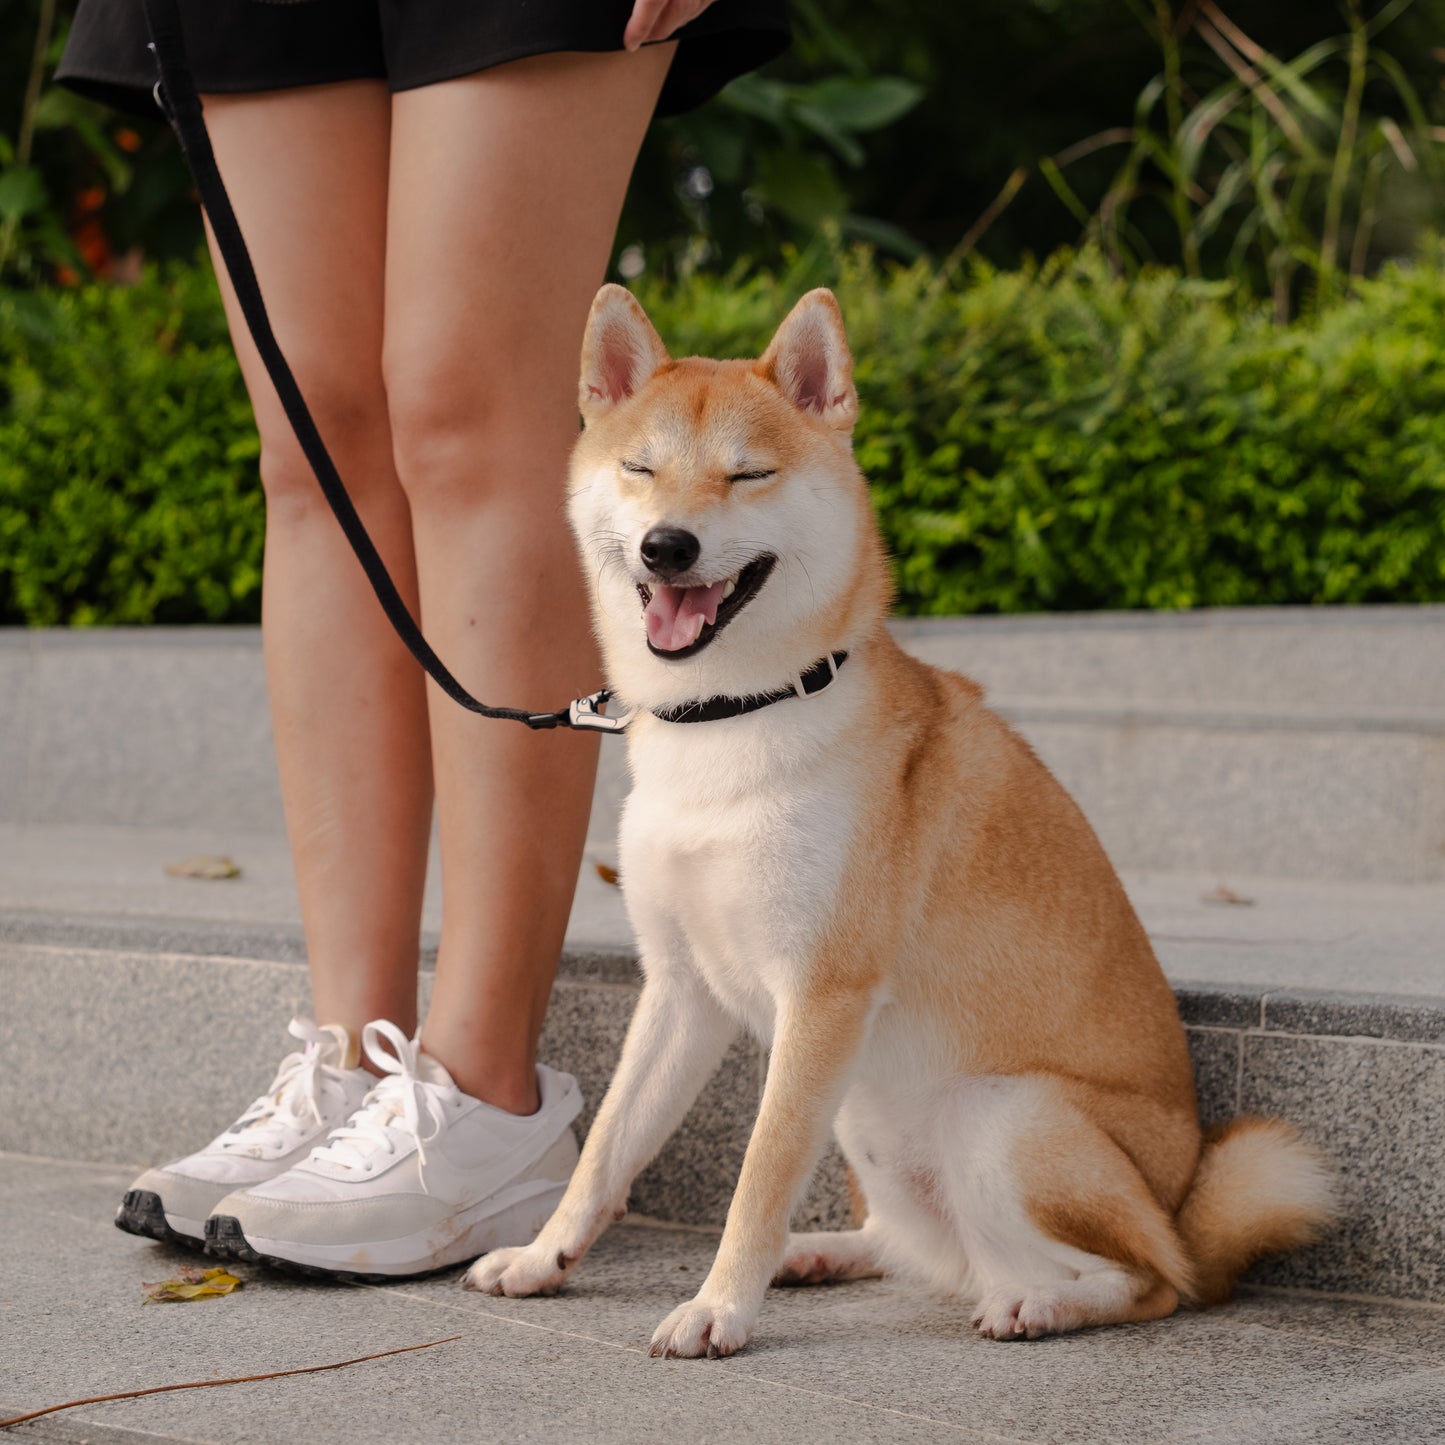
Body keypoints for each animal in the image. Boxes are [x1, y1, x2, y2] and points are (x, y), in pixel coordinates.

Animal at [462, 284, 1329, 1352]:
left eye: (748, 474)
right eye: (641, 468)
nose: (669, 545)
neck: (732, 718)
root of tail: (1181, 1206)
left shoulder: (822, 996)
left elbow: (758, 1178)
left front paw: (718, 1305)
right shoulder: (679, 989)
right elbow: (606, 1152)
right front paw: (544, 1254)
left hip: (999, 1115)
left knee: (1148, 1280)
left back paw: (1039, 1302)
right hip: (866, 1119)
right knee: (919, 1247)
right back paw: (828, 1252)